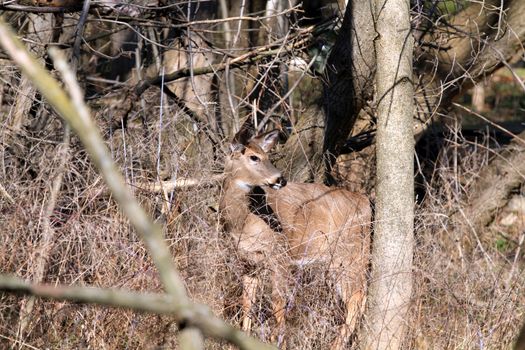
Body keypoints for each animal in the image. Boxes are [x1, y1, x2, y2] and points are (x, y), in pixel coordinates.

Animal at [219, 129, 370, 350]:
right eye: (254, 157)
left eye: (267, 156)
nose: (280, 179)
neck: (243, 221)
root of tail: (366, 202)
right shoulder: (247, 259)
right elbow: (247, 302)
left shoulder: (280, 254)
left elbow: (278, 302)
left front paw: (277, 341)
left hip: (348, 254)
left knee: (357, 296)